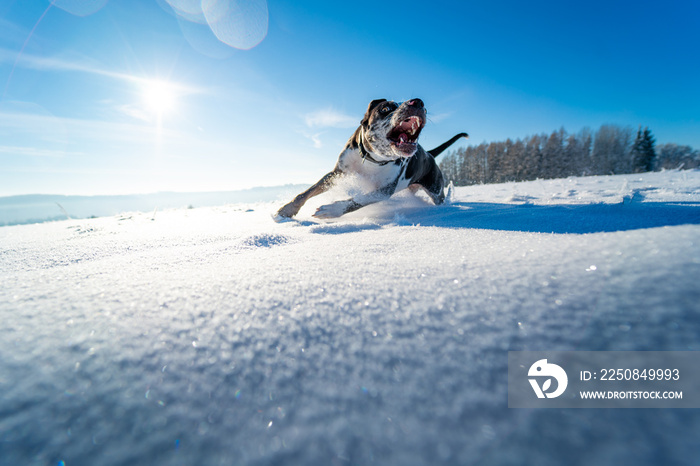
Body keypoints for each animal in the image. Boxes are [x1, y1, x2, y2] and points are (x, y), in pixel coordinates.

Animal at [276, 97, 468, 220]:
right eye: (385, 109)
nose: (418, 102)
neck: (372, 159)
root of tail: (429, 154)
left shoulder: (383, 190)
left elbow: (358, 201)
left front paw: (332, 209)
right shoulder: (336, 174)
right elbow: (305, 192)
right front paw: (286, 210)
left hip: (435, 189)